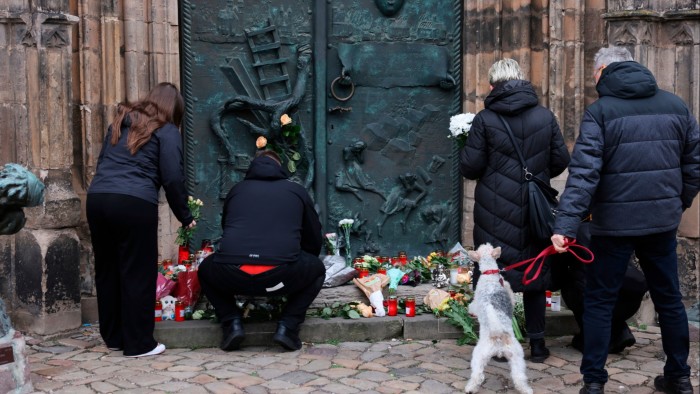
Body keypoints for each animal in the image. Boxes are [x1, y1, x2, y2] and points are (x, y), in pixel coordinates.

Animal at [464, 243, 532, 394]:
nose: (487, 243)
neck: (490, 273)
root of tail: (499, 335)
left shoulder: (477, 301)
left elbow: (472, 306)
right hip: (517, 357)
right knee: (519, 377)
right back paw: (526, 390)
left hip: (478, 354)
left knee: (477, 375)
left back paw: (470, 388)